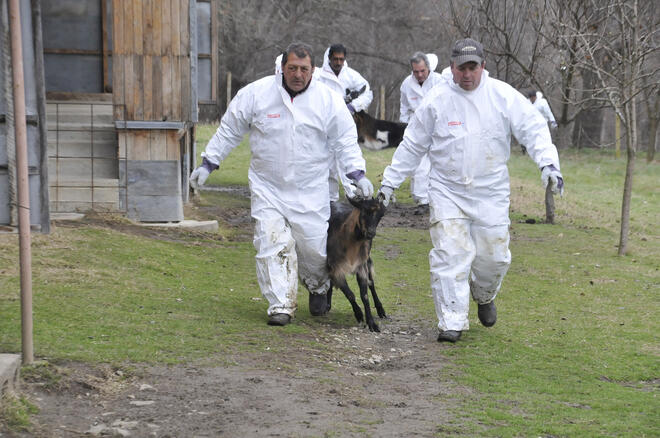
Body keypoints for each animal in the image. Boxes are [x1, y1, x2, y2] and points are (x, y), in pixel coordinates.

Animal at [324, 196, 386, 332]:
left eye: (381, 215)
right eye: (364, 212)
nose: (370, 233)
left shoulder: (361, 266)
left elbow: (365, 295)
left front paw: (372, 323)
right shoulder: (335, 268)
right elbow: (350, 294)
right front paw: (359, 315)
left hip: (367, 259)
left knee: (371, 284)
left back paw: (381, 310)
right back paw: (327, 304)